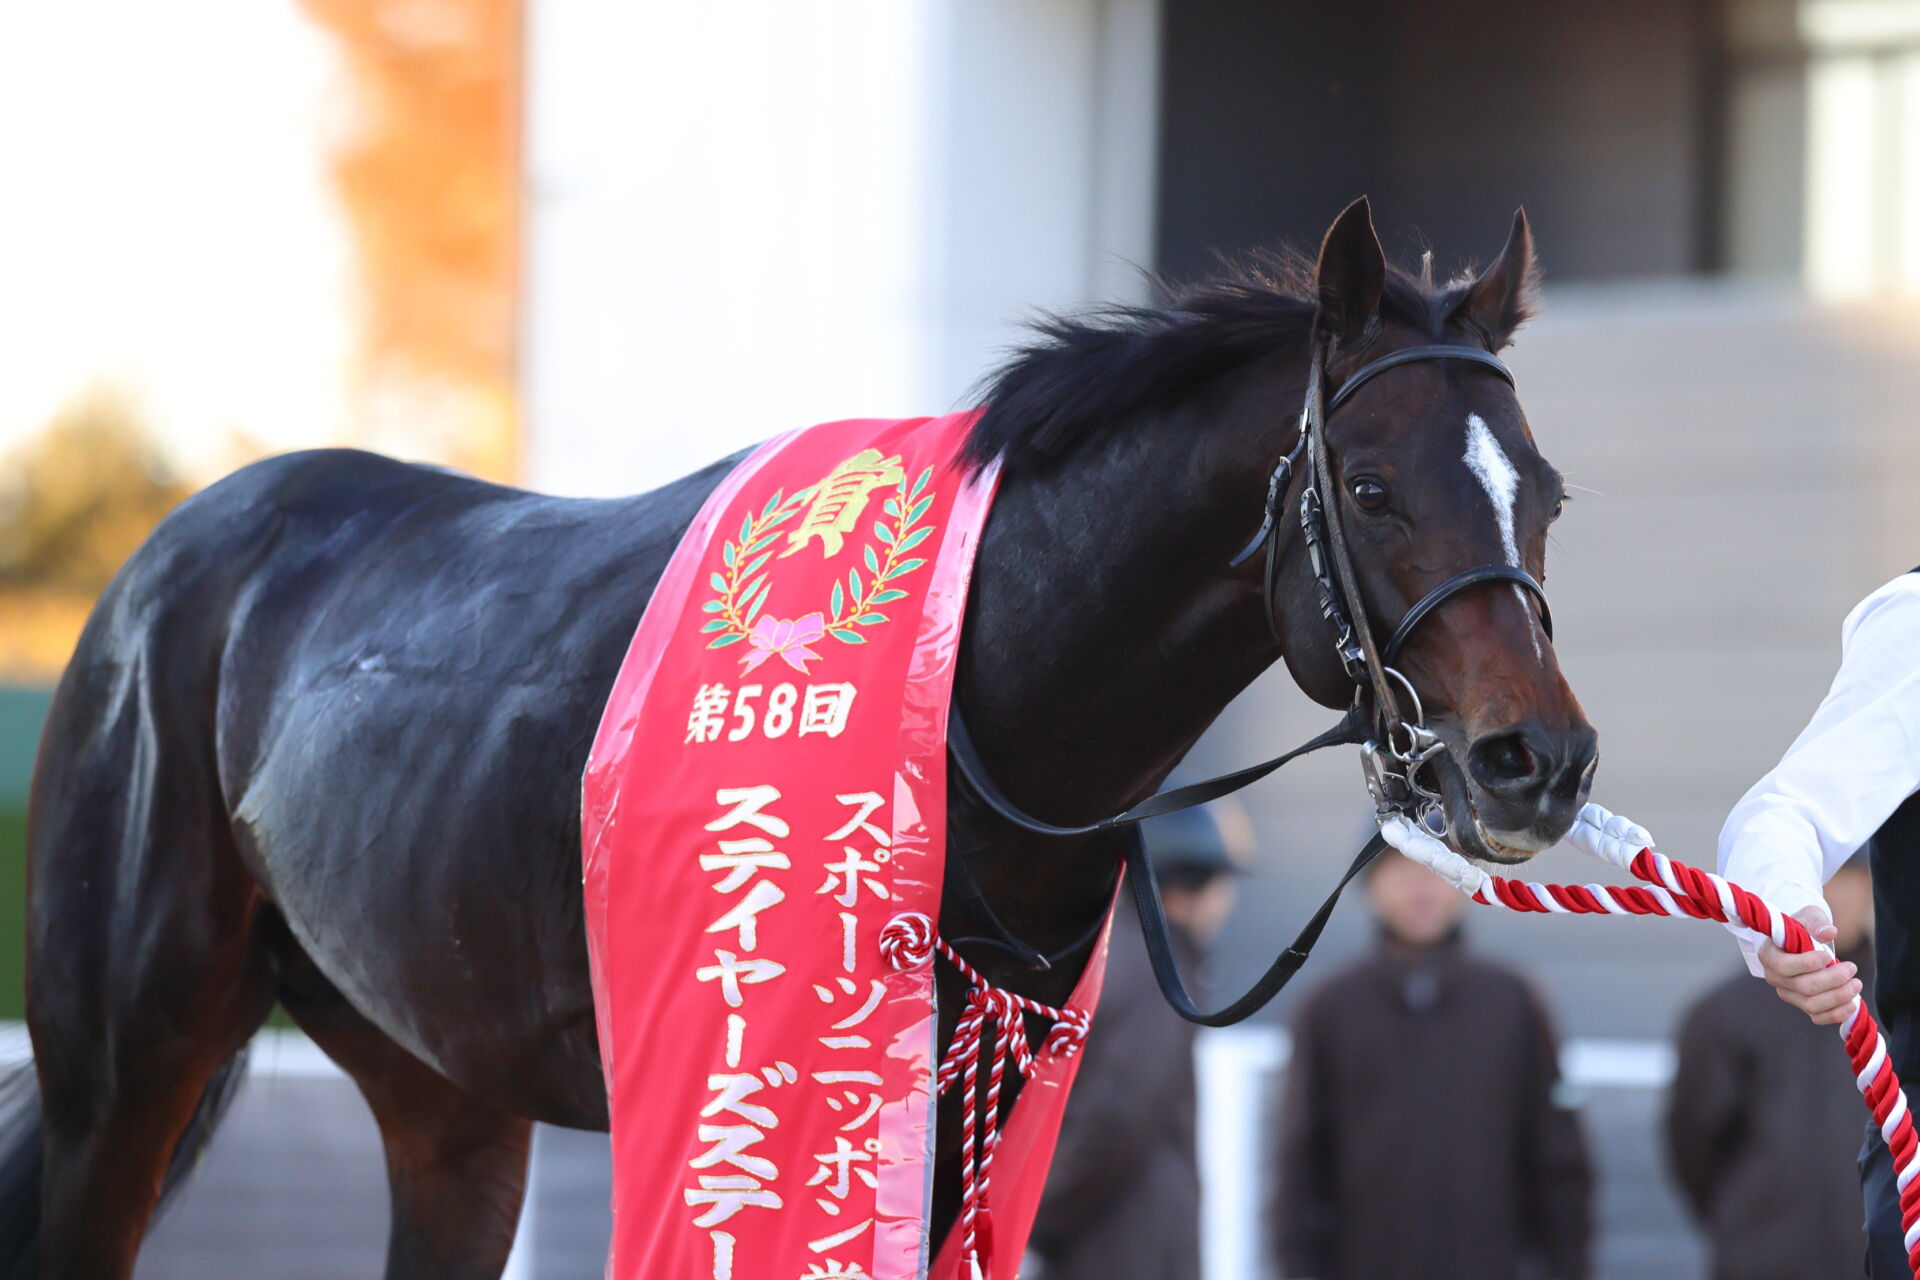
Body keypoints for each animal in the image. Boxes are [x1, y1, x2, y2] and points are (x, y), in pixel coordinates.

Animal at [7, 195, 1589, 1274]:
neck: (968, 703)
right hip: (120, 1075)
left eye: (1549, 492)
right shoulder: (760, 1105)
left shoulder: (968, 1119)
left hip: (444, 1090)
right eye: (1372, 488)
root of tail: (164, 562)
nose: (1538, 762)